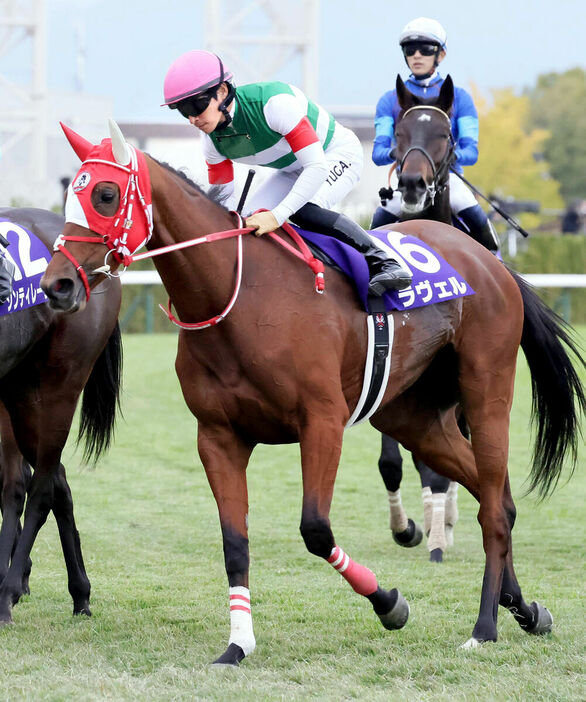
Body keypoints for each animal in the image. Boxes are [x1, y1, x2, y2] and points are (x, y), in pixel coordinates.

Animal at [0, 206, 121, 624]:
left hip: (60, 389)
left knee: (40, 487)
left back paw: (11, 593)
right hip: (18, 392)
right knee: (39, 483)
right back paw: (76, 593)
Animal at [40, 124, 580, 668]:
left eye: (105, 195)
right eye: (71, 194)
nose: (56, 285)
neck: (242, 295)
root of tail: (491, 263)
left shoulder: (321, 421)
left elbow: (316, 529)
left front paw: (390, 604)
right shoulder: (217, 436)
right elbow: (234, 543)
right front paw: (237, 645)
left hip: (487, 388)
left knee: (493, 506)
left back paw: (485, 626)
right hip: (414, 417)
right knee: (495, 496)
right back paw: (525, 610)